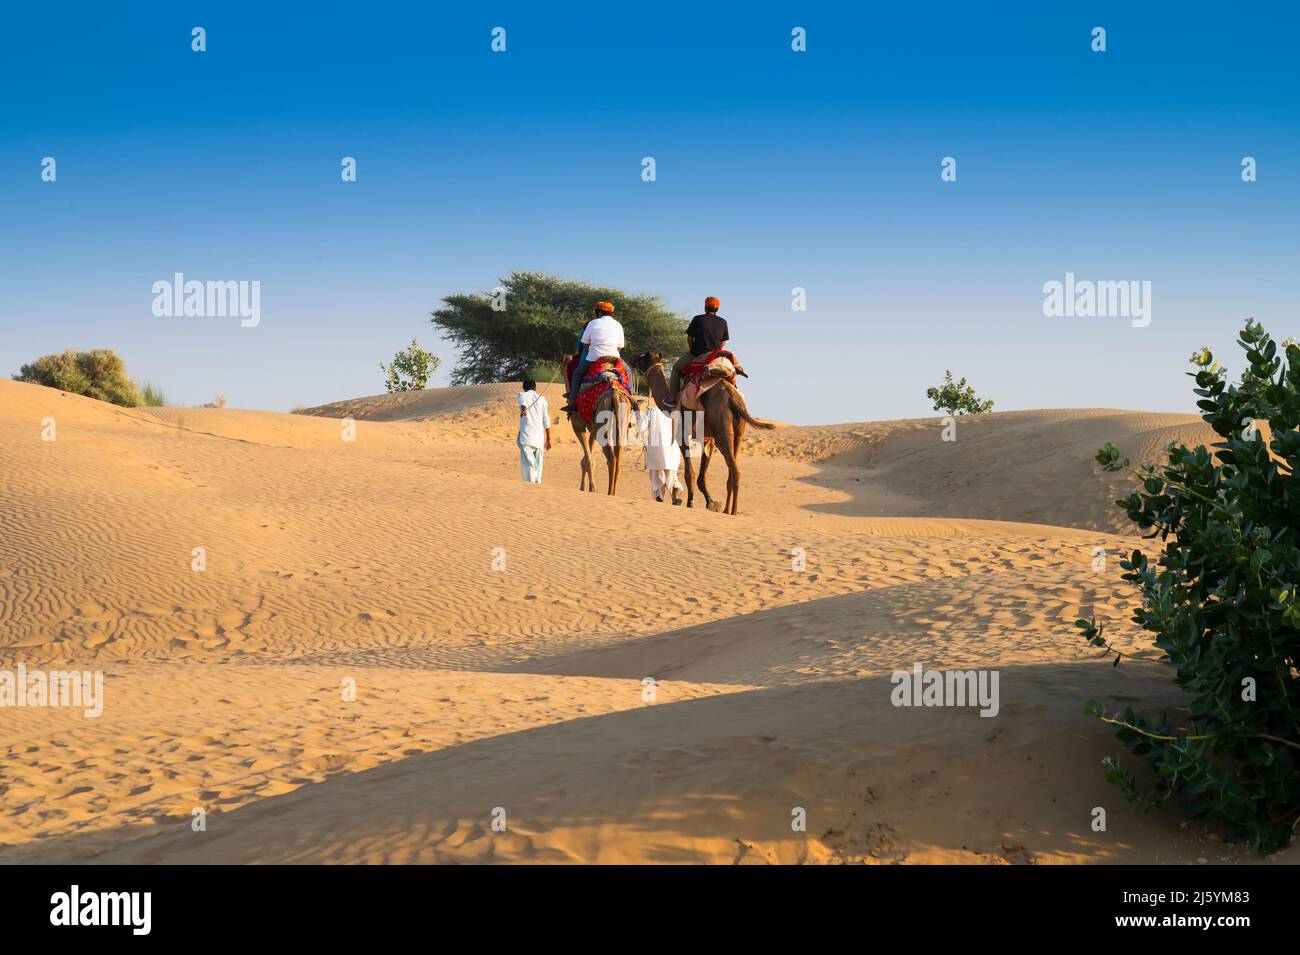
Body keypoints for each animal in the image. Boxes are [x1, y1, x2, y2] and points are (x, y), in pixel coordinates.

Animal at [562, 355, 637, 495]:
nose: (567, 393)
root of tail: (614, 395)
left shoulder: (578, 425)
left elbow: (588, 459)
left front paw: (591, 489)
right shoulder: (593, 428)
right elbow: (587, 457)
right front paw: (586, 488)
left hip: (603, 425)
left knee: (612, 459)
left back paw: (609, 493)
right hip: (621, 422)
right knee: (618, 459)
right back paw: (613, 493)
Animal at [630, 351, 775, 515]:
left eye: (643, 357)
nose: (631, 358)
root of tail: (732, 397)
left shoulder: (682, 434)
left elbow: (690, 474)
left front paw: (690, 503)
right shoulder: (708, 438)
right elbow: (702, 477)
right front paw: (711, 503)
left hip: (721, 428)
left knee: (735, 470)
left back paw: (733, 511)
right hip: (738, 432)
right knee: (732, 470)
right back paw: (726, 509)